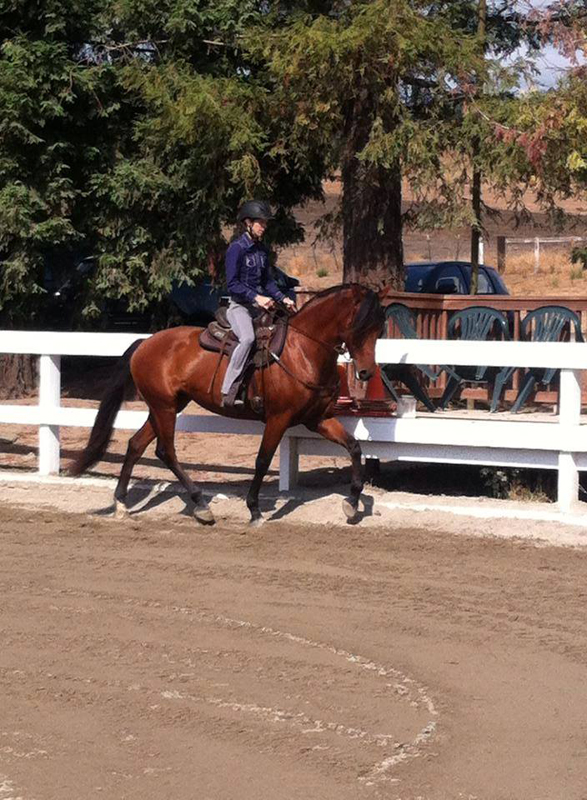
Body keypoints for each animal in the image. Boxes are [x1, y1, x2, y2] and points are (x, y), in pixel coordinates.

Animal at [70, 284, 386, 526]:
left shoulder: (317, 418)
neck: (303, 352)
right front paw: (254, 509)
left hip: (165, 406)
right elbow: (262, 460)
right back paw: (200, 504)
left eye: (379, 329)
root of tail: (144, 343)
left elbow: (354, 447)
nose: (366, 373)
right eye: (360, 326)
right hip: (164, 408)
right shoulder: (278, 419)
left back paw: (121, 503)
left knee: (136, 445)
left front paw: (352, 503)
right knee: (165, 451)